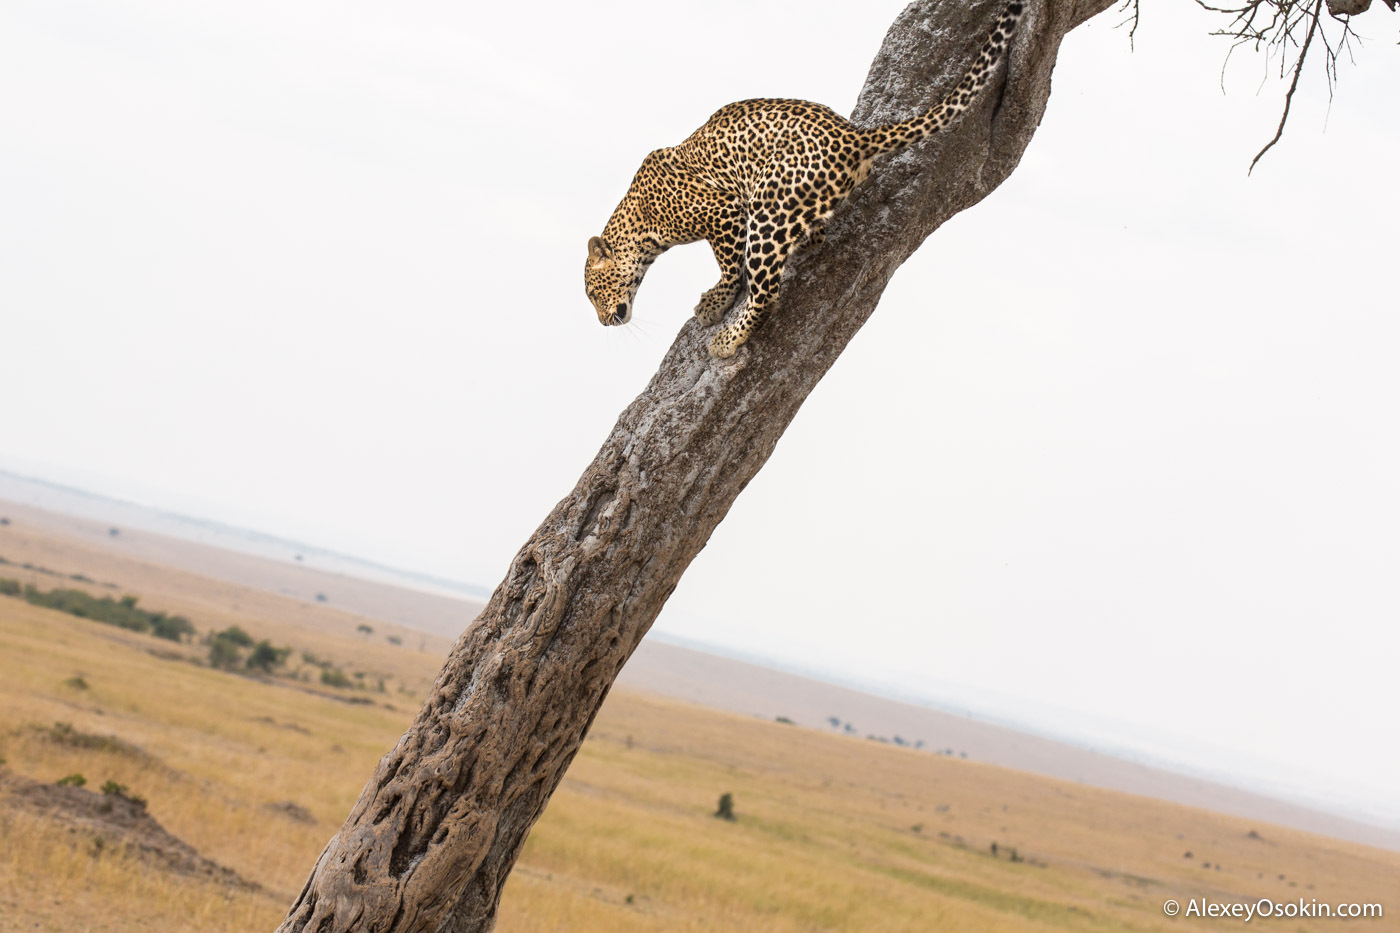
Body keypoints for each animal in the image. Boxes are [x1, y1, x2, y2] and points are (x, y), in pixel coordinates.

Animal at [585, 0, 1024, 358]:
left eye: (592, 292)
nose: (603, 322)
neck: (640, 227)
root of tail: (852, 136)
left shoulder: (723, 212)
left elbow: (730, 268)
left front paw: (714, 303)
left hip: (767, 211)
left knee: (766, 294)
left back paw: (728, 340)